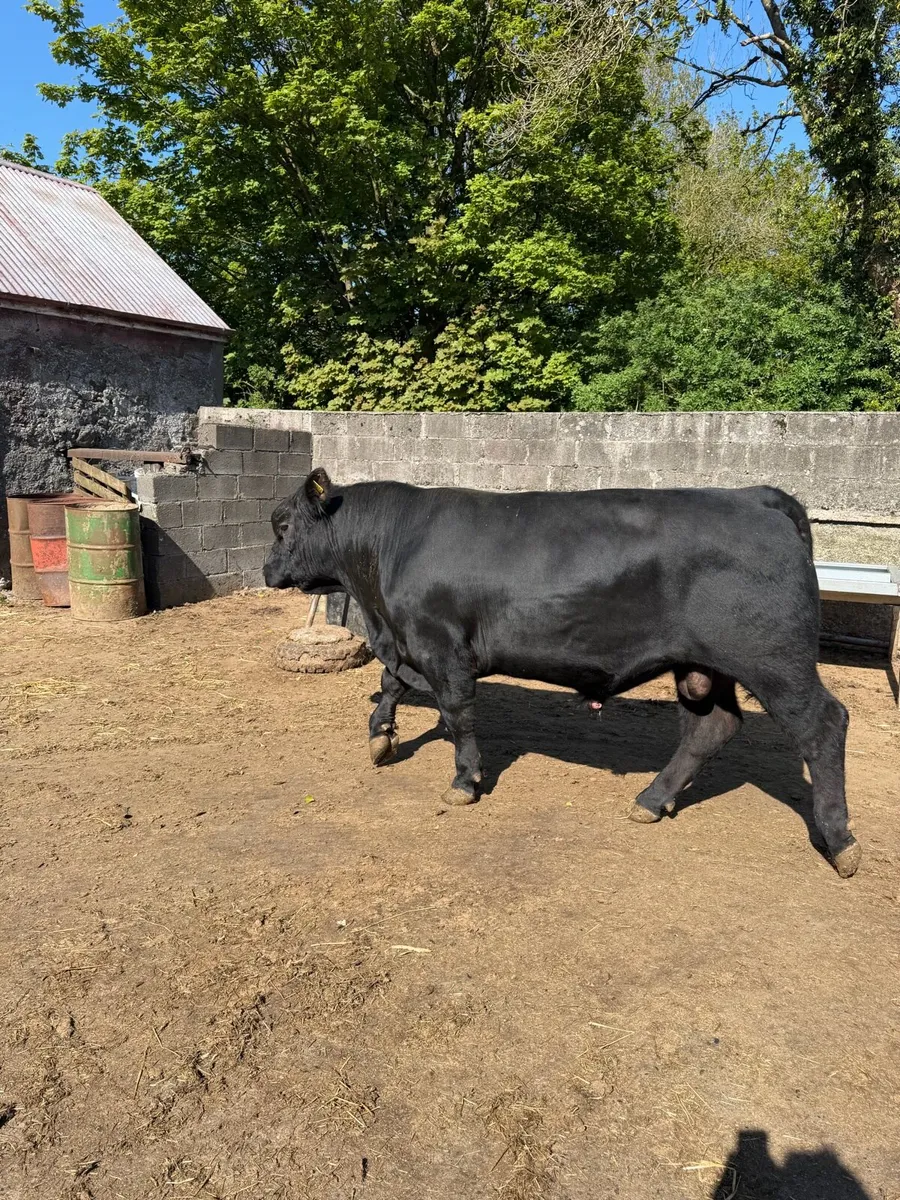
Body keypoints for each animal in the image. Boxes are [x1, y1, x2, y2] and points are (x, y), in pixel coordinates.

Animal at [264, 468, 861, 878]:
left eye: (283, 525)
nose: (268, 570)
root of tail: (756, 496)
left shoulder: (442, 645)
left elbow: (457, 715)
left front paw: (464, 782)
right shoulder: (409, 641)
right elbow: (390, 681)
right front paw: (381, 738)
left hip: (774, 661)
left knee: (823, 724)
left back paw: (839, 841)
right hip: (703, 667)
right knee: (710, 727)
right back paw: (651, 801)